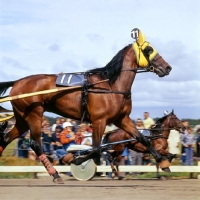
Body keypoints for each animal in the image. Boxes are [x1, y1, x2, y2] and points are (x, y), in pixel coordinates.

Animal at [0, 36, 172, 183]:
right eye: (149, 49)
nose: (168, 67)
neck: (110, 85)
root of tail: (17, 82)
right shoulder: (99, 120)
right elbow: (96, 149)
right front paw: (75, 159)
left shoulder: (122, 119)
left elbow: (142, 138)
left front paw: (163, 161)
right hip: (34, 114)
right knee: (36, 144)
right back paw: (55, 174)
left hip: (22, 118)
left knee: (6, 138)